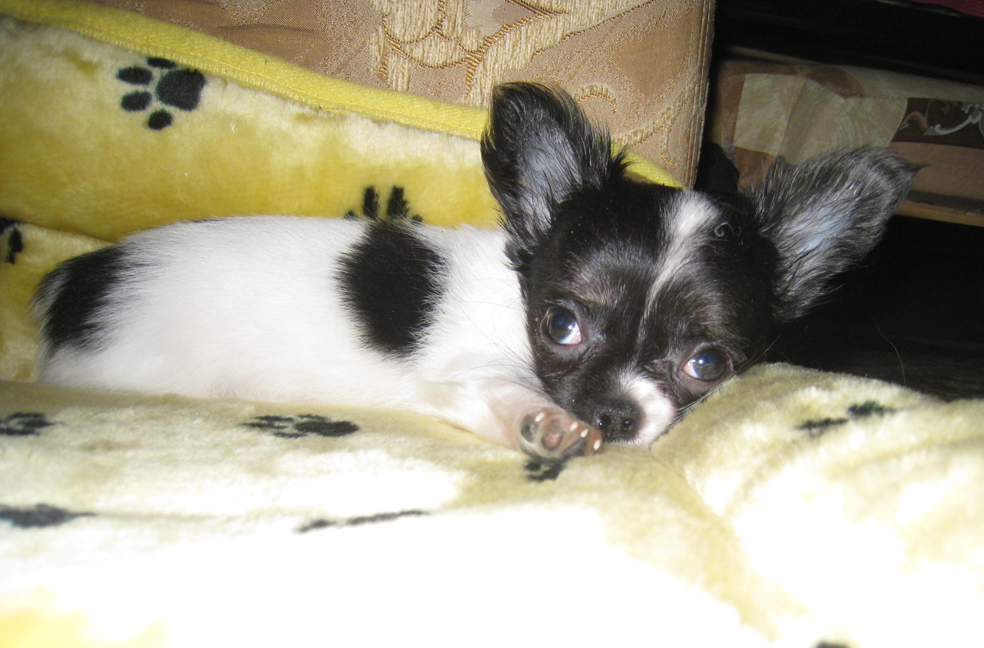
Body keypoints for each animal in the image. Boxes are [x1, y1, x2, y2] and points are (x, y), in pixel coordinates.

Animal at [33, 83, 917, 463]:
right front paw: (551, 426)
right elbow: (507, 394)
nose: (612, 413)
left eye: (707, 363)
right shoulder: (468, 370)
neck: (517, 301)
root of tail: (76, 281)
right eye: (562, 323)